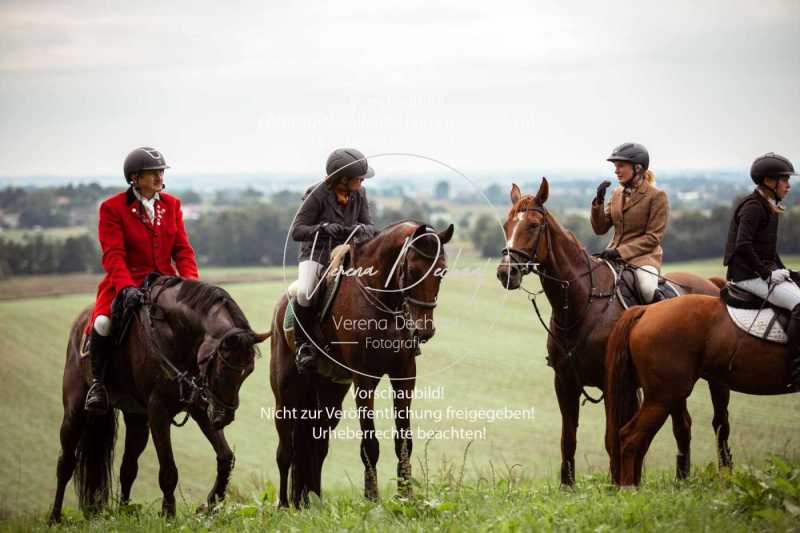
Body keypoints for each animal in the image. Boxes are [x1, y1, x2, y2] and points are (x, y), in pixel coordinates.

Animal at [50, 276, 268, 520]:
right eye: (222, 368)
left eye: (248, 371)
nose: (224, 417)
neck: (176, 334)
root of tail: (80, 323)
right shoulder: (158, 411)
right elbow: (168, 470)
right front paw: (168, 515)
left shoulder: (199, 408)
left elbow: (225, 457)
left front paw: (210, 505)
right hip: (75, 411)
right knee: (65, 463)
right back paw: (55, 517)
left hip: (137, 419)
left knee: (128, 468)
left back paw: (124, 513)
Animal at [268, 220, 454, 508]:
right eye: (412, 270)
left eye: (441, 272)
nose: (424, 330)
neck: (383, 300)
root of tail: (280, 309)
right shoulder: (364, 379)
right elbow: (370, 443)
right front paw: (373, 499)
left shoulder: (404, 376)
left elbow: (403, 440)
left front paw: (406, 495)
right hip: (286, 395)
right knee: (285, 449)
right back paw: (285, 506)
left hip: (329, 392)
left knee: (315, 445)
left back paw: (311, 502)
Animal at [496, 180, 736, 486]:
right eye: (507, 225)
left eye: (534, 225)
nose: (506, 273)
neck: (582, 302)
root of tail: (710, 284)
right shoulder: (564, 381)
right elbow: (568, 439)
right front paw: (568, 486)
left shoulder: (612, 383)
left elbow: (612, 436)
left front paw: (616, 484)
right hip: (673, 383)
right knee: (683, 425)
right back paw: (681, 480)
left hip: (716, 381)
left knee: (721, 425)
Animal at [608, 296, 792, 486]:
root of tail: (646, 310)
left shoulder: (719, 384)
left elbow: (720, 425)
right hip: (662, 397)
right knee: (631, 437)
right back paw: (629, 488)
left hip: (668, 397)